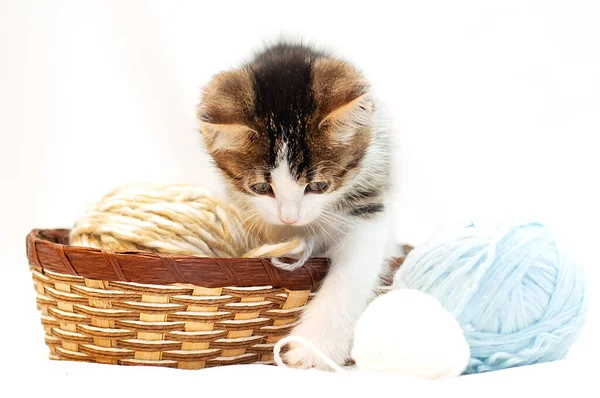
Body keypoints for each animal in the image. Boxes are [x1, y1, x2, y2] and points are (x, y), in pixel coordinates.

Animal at [195, 42, 396, 368]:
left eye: (319, 186)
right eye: (261, 188)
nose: (289, 218)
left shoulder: (368, 199)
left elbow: (355, 269)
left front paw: (314, 347)